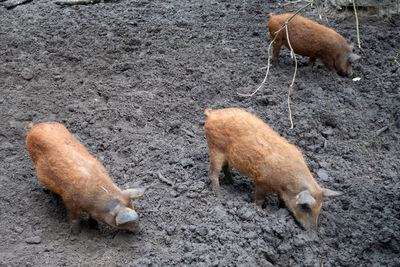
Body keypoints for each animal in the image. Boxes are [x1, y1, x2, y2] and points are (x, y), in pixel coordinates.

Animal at [205, 109, 342, 230]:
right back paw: (220, 196)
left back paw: (232, 183)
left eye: (320, 208)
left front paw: (280, 207)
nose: (313, 232)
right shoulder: (261, 181)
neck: (287, 184)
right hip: (215, 148)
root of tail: (212, 113)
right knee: (213, 172)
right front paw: (259, 210)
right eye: (306, 207)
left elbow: (281, 200)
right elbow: (259, 199)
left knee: (225, 167)